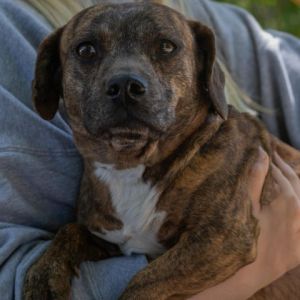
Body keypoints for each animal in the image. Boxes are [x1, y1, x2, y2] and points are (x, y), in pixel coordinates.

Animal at [22, 2, 300, 300]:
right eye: (86, 50)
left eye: (166, 46)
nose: (125, 86)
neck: (129, 166)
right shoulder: (109, 239)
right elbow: (69, 231)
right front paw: (44, 277)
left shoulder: (222, 238)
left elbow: (142, 283)